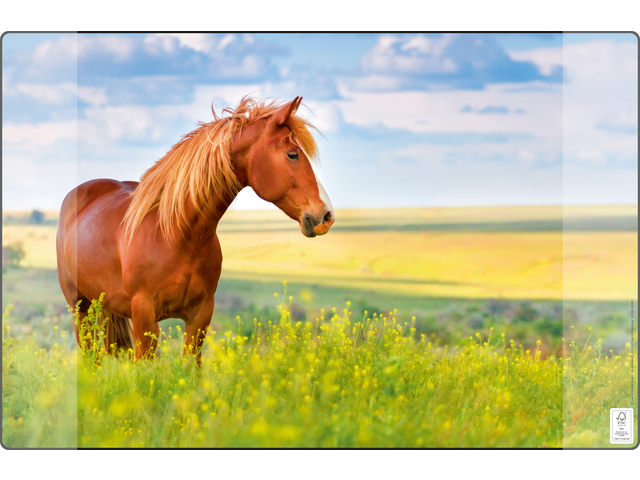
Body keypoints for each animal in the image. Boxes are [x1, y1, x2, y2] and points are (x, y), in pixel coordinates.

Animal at [56, 96, 334, 363]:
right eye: (292, 154)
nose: (326, 216)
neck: (176, 235)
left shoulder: (200, 316)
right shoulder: (144, 315)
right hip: (80, 308)